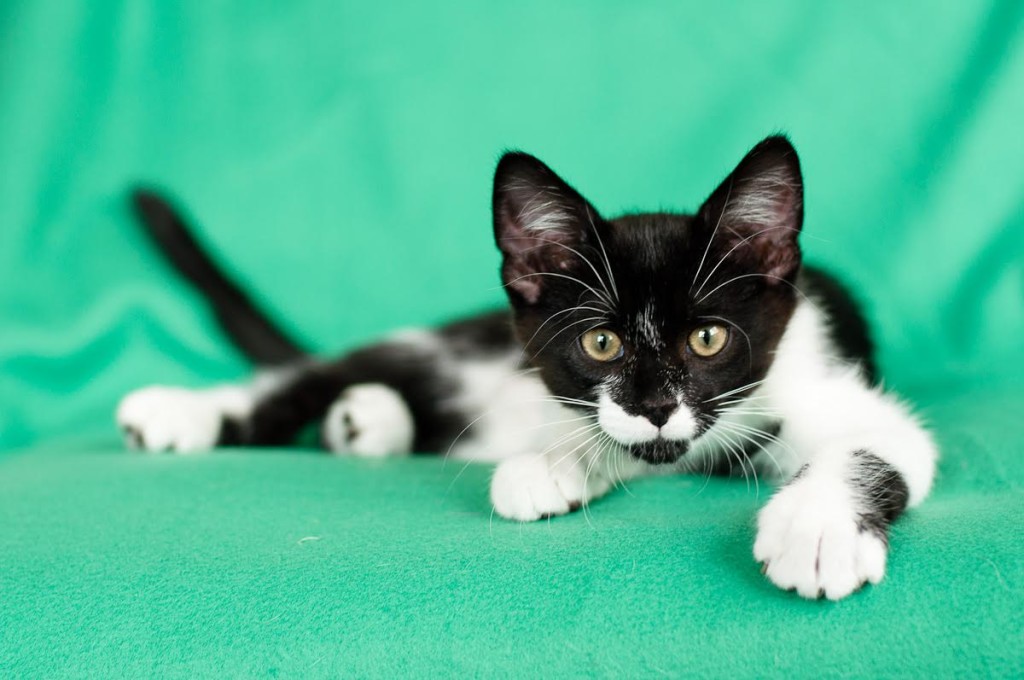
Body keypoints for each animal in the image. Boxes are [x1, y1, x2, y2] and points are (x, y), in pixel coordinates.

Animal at [117, 135, 937, 600]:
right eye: (600, 344)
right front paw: (554, 462)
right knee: (318, 374)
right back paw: (181, 412)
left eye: (708, 339)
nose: (653, 406)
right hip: (453, 343)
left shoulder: (828, 376)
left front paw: (817, 530)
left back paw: (365, 421)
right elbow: (607, 438)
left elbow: (878, 443)